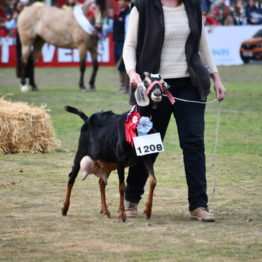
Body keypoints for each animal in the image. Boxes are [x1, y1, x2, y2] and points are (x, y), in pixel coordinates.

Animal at [61, 72, 175, 221]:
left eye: (162, 83)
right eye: (145, 81)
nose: (157, 94)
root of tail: (87, 119)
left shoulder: (146, 156)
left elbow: (153, 180)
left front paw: (148, 211)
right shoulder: (120, 161)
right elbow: (122, 186)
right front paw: (122, 215)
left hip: (107, 161)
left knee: (101, 182)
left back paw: (105, 211)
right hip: (81, 152)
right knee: (71, 177)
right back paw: (64, 209)